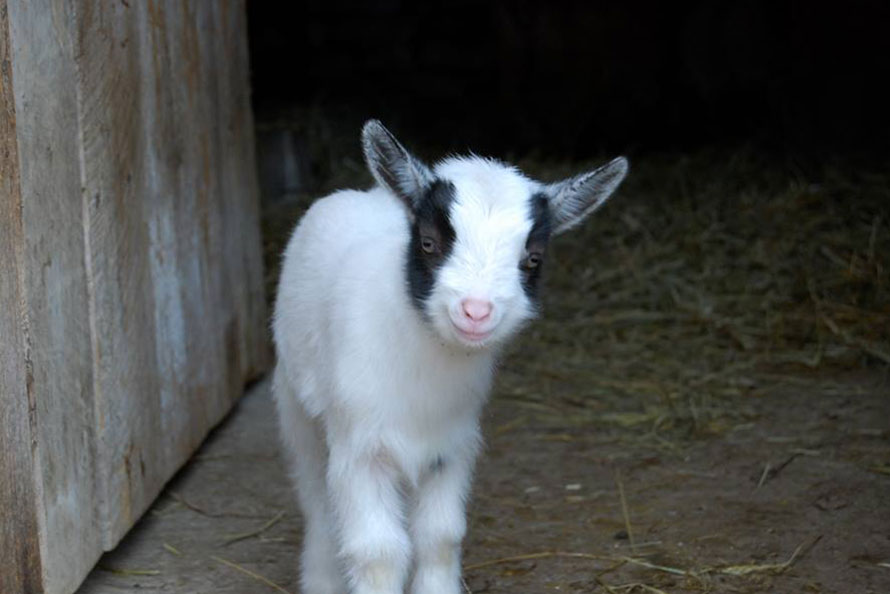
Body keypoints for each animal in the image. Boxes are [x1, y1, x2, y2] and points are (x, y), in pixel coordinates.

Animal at [270, 120, 624, 592]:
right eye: (428, 242)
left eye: (532, 259)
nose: (476, 311)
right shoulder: (360, 449)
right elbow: (377, 551)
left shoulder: (451, 447)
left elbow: (440, 536)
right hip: (296, 406)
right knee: (316, 501)